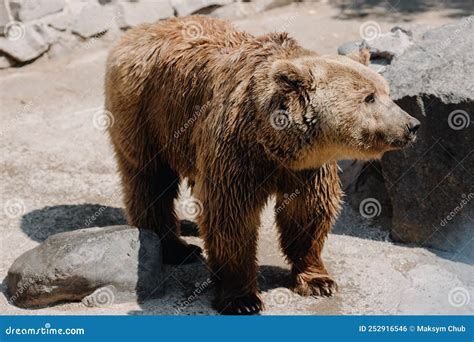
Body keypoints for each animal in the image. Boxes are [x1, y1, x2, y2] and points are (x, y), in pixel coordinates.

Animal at [105, 16, 420, 316]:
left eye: (386, 91)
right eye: (369, 97)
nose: (412, 125)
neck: (275, 143)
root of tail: (138, 31)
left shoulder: (308, 168)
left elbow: (308, 213)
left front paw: (319, 280)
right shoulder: (236, 154)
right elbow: (231, 218)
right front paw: (242, 299)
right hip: (146, 111)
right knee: (150, 181)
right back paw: (175, 248)